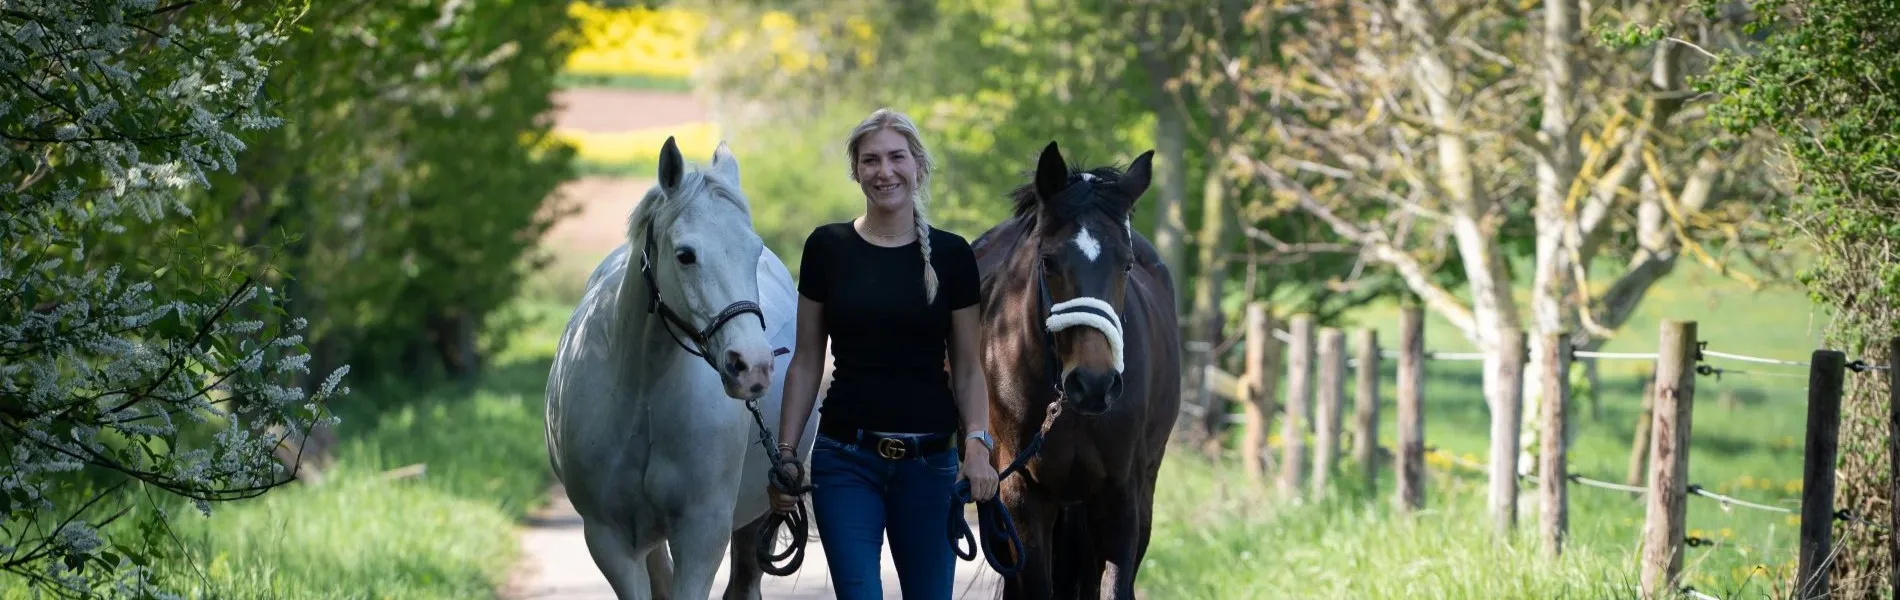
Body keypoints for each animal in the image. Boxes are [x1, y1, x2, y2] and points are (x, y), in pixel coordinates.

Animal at [544, 137, 821, 600]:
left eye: (754, 250)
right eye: (685, 255)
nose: (753, 366)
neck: (643, 397)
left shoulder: (702, 533)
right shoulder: (610, 541)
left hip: (759, 509)